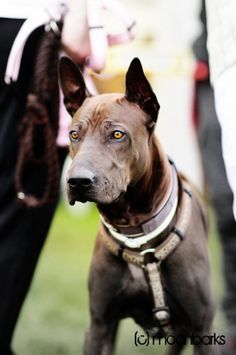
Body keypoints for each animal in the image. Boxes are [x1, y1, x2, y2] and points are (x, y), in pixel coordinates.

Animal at [59, 57, 219, 354]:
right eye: (74, 134)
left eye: (117, 134)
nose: (78, 181)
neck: (135, 232)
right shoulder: (100, 325)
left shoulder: (203, 329)